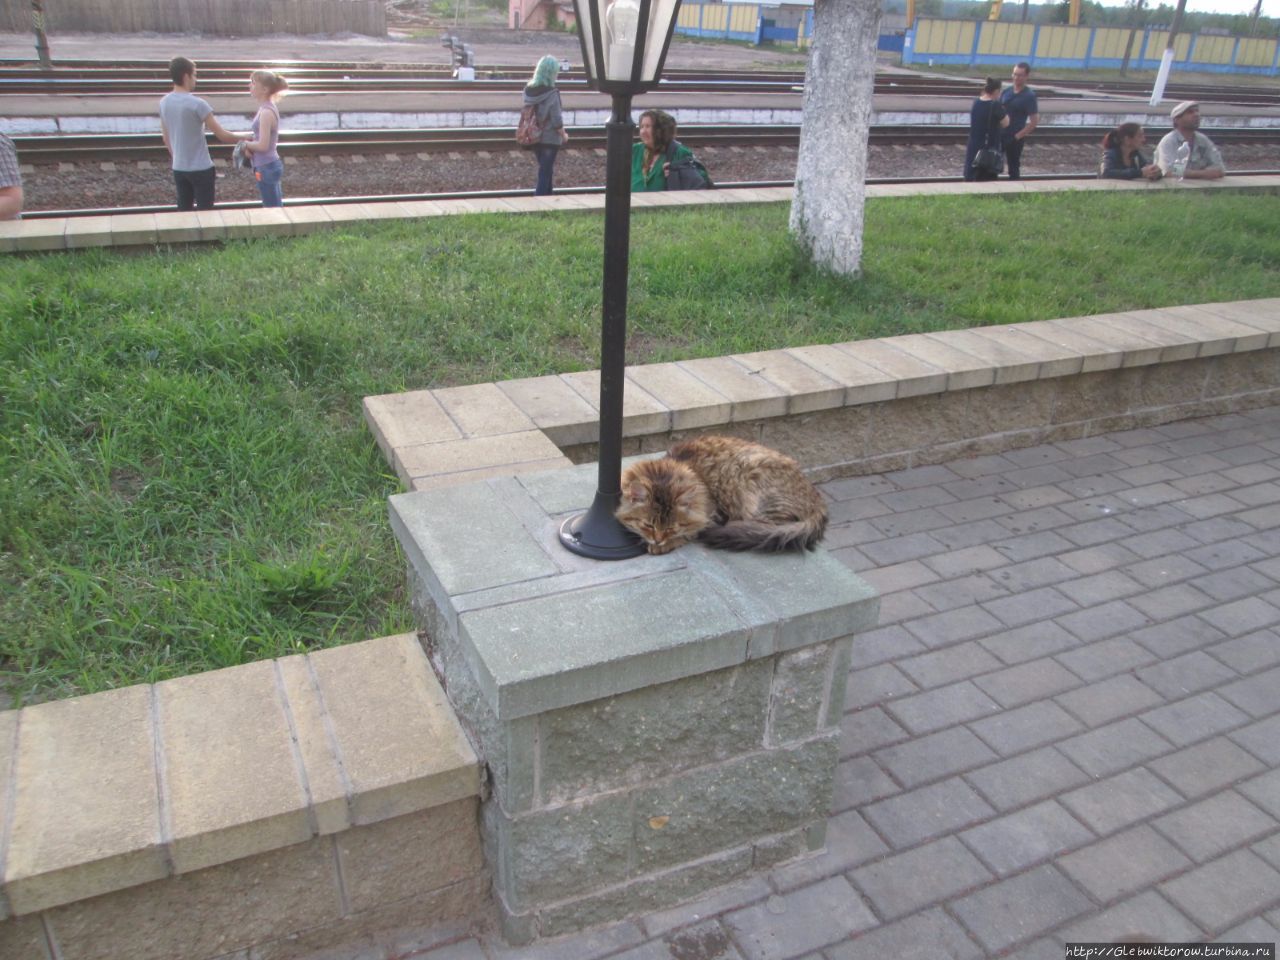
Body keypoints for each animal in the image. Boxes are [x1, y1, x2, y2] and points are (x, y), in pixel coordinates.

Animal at [611, 435, 829, 555]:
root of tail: (817, 499)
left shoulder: (713, 515)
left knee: (764, 527)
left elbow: (691, 532)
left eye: (672, 527)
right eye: (648, 525)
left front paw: (664, 545)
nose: (657, 540)